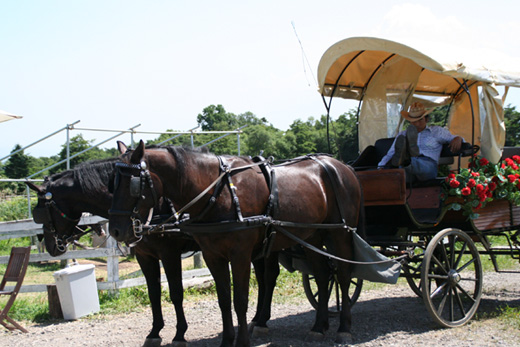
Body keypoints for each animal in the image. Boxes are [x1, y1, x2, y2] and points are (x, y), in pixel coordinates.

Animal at [107, 141, 364, 347]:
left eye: (133, 183)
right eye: (112, 182)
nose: (116, 230)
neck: (218, 191)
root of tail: (342, 166)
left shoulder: (239, 254)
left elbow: (239, 300)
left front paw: (241, 341)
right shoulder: (212, 255)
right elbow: (223, 300)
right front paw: (226, 340)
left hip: (340, 234)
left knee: (342, 274)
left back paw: (344, 328)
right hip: (312, 236)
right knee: (322, 276)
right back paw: (319, 327)